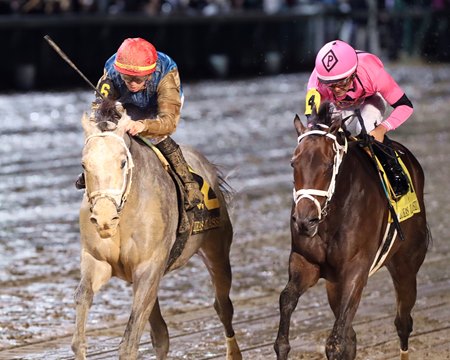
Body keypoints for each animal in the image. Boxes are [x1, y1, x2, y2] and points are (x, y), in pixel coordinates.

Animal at [71, 99, 243, 360]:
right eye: (84, 164)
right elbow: (82, 304)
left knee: (223, 306)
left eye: (122, 162)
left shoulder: (148, 268)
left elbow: (129, 343)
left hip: (217, 252)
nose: (103, 218)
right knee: (161, 334)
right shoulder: (98, 261)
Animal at [274, 103, 428, 360]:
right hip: (334, 284)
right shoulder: (306, 263)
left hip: (406, 265)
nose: (305, 220)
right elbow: (286, 301)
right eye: (294, 163)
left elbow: (337, 342)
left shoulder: (356, 270)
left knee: (403, 322)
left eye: (328, 165)